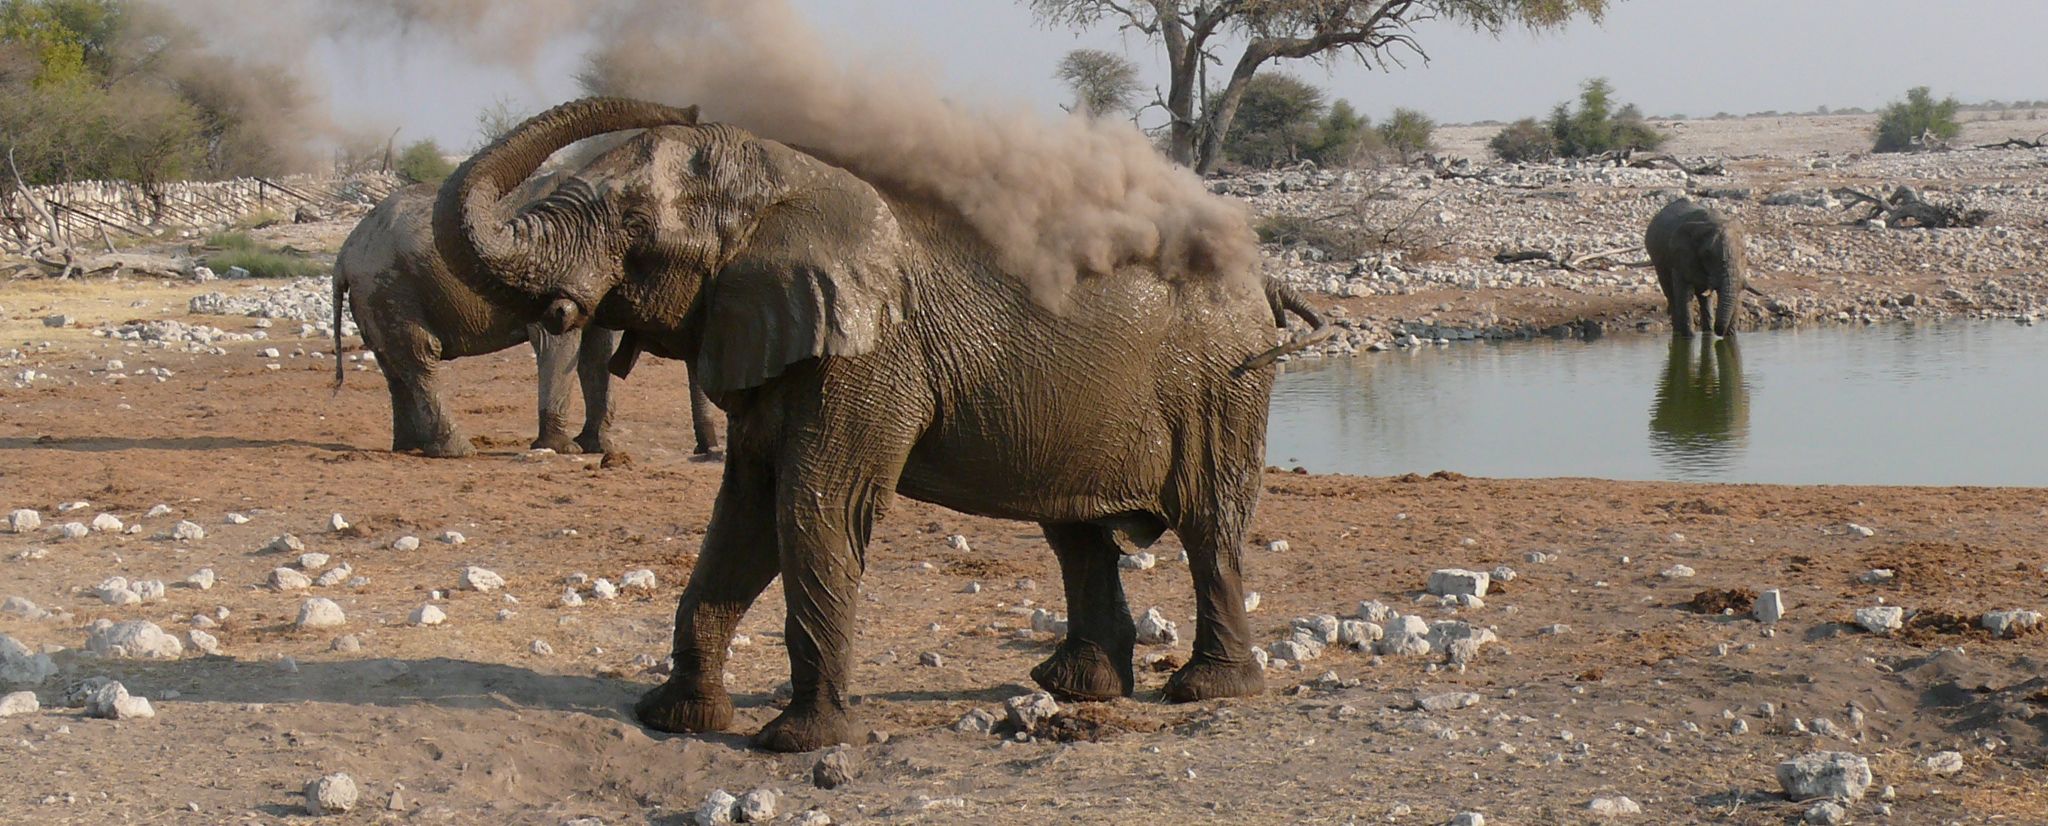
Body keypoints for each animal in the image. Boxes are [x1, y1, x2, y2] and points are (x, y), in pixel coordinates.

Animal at [331, 180, 724, 459]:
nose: (706, 451)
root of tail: (345, 252)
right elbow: (560, 341)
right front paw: (563, 449)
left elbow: (595, 353)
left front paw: (598, 448)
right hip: (390, 287)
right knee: (421, 355)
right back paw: (457, 451)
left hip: (377, 296)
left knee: (395, 368)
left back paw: (410, 447)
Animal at [432, 98, 1327, 758]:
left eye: (630, 221)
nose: (681, 99)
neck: (789, 183)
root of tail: (1263, 273)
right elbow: (743, 518)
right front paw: (674, 718)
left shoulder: (869, 360)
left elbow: (813, 508)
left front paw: (798, 744)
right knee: (1074, 531)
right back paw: (1073, 687)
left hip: (1219, 384)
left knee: (1208, 523)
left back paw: (1204, 690)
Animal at [1638, 197, 1753, 340]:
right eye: (1707, 254)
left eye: (1743, 253)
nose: (1720, 332)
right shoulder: (1681, 257)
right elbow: (1684, 293)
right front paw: (1689, 337)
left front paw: (1730, 337)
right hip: (1658, 261)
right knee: (1670, 292)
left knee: (1704, 297)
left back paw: (1708, 331)